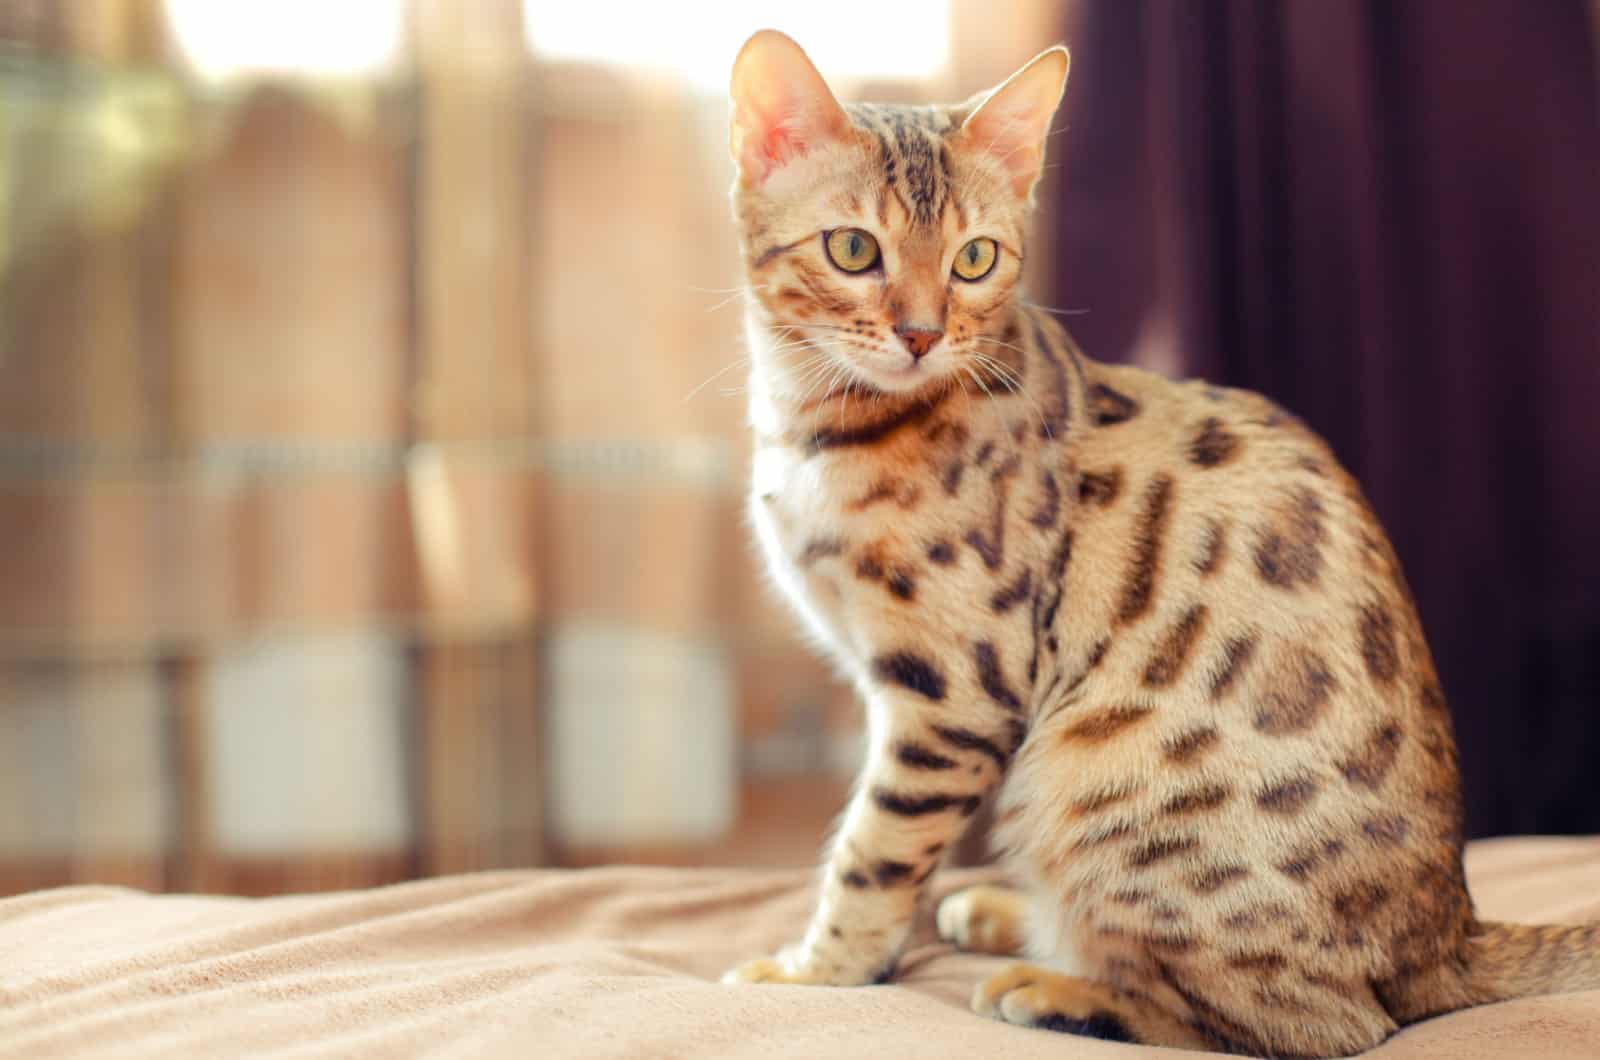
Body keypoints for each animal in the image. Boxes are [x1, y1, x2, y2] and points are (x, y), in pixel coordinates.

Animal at [726, 29, 1600, 1056]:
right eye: (854, 248)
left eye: (975, 260)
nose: (921, 335)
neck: (814, 427)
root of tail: (1452, 934)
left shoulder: (952, 693)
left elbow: (874, 851)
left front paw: (816, 974)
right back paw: (1010, 915)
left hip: (1097, 786)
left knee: (1315, 1022)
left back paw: (1051, 984)